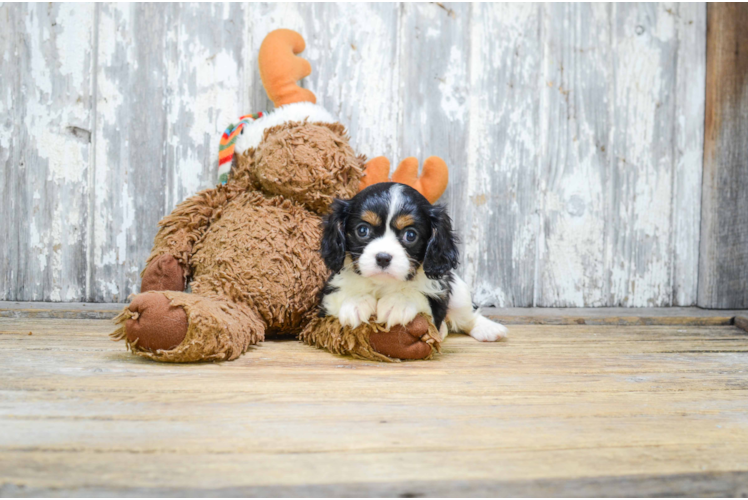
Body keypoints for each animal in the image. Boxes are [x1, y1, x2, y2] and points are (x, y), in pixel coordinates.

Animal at [318, 182, 506, 342]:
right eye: (362, 230)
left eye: (410, 235)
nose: (383, 257)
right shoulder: (325, 302)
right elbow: (343, 294)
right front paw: (356, 302)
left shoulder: (438, 295)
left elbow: (419, 296)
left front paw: (398, 303)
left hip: (459, 292)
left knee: (467, 316)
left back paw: (487, 328)